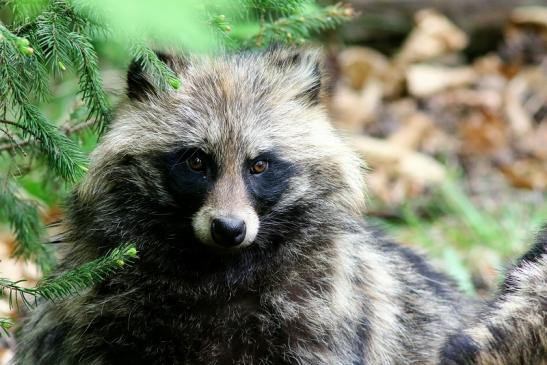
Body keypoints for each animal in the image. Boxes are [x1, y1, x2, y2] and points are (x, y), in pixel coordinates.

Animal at [15, 49, 544, 364]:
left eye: (260, 165)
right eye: (197, 161)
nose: (229, 228)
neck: (214, 269)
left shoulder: (317, 319)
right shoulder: (103, 311)